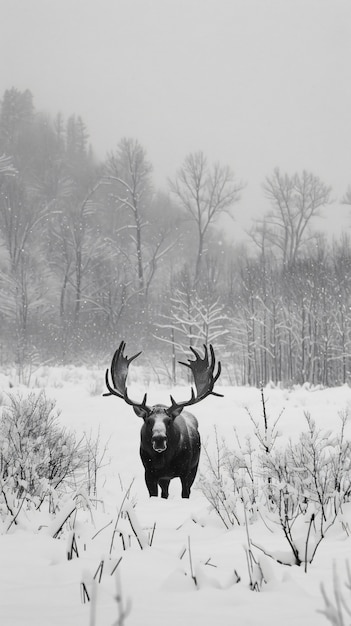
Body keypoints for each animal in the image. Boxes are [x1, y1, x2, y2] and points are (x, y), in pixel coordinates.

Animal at [104, 342, 223, 498]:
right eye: (148, 421)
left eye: (169, 420)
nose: (159, 439)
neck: (165, 462)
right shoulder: (149, 473)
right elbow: (154, 495)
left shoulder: (186, 472)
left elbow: (185, 493)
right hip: (164, 478)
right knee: (165, 493)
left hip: (194, 467)